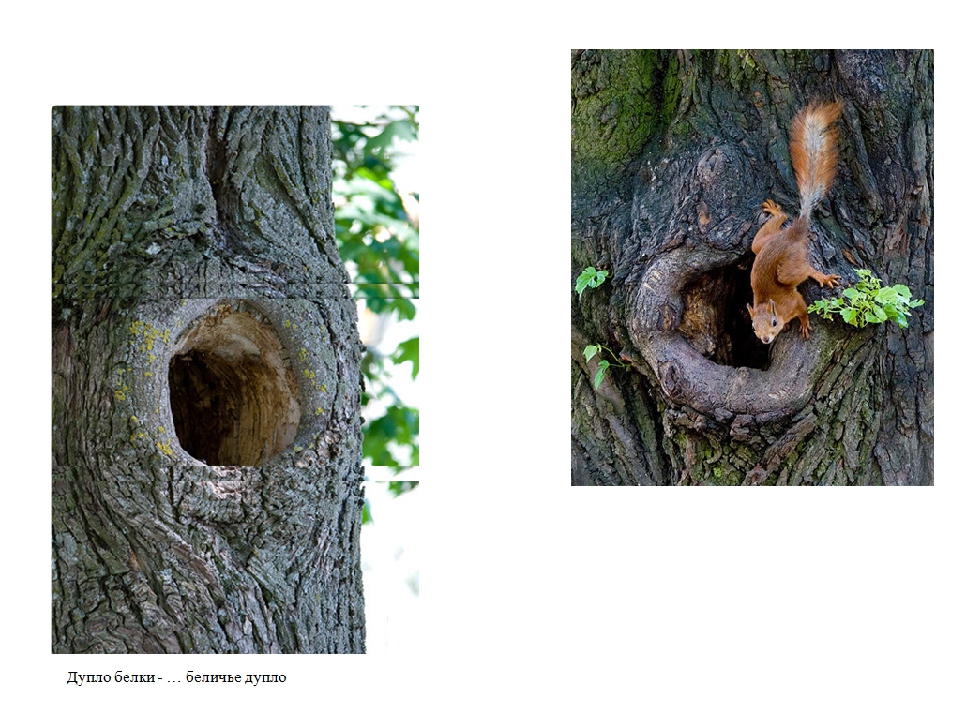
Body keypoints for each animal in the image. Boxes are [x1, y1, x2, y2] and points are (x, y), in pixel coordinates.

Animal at [752, 101, 840, 346]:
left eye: (773, 322)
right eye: (753, 328)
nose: (765, 340)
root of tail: (791, 234)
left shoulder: (794, 302)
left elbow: (802, 309)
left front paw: (803, 323)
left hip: (790, 266)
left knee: (805, 269)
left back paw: (822, 277)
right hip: (761, 246)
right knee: (761, 240)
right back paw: (776, 212)